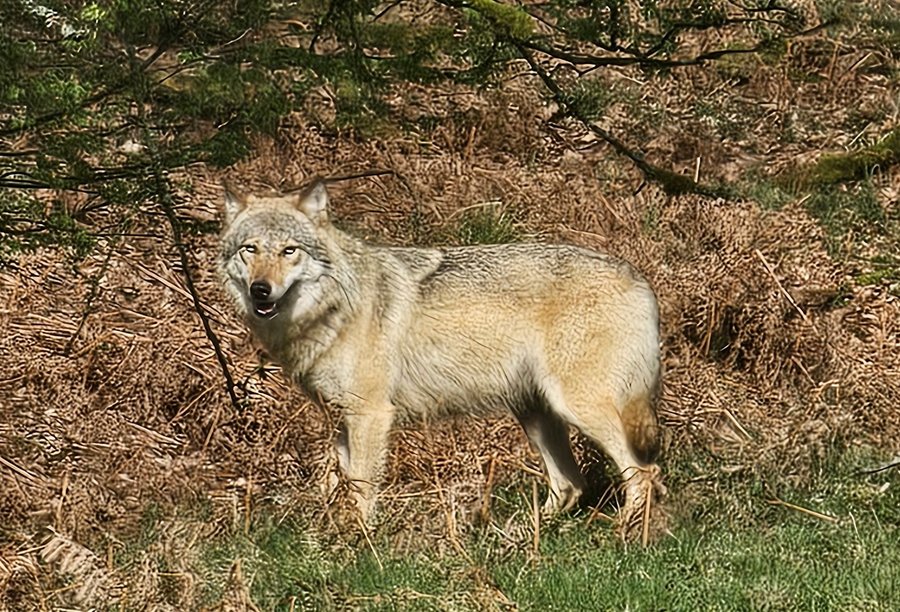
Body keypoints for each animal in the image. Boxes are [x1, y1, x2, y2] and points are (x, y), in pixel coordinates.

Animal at [218, 179, 664, 536]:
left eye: (289, 251)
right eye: (250, 250)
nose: (261, 289)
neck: (332, 308)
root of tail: (639, 278)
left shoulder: (371, 414)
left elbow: (362, 485)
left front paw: (358, 542)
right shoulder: (343, 418)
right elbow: (339, 482)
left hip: (578, 407)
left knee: (644, 473)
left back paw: (620, 534)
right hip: (536, 413)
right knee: (572, 485)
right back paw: (514, 535)